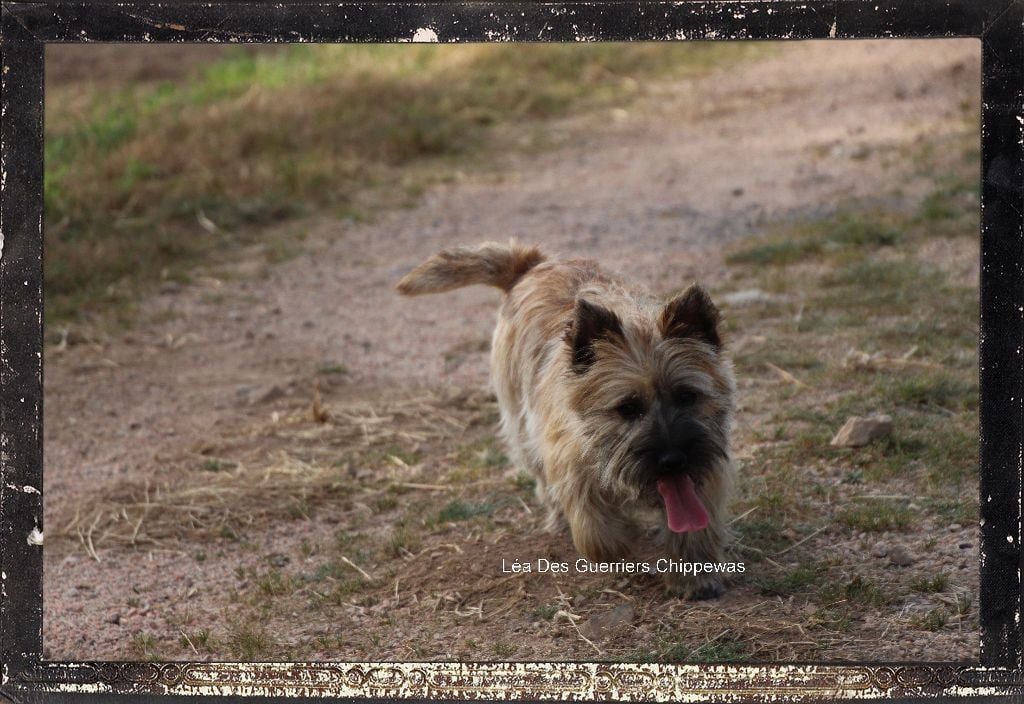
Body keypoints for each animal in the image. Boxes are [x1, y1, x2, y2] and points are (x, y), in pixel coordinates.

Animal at [393, 241, 737, 597]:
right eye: (628, 408)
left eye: (687, 396)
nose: (673, 460)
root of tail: (532, 265)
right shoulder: (568, 462)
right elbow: (595, 530)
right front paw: (620, 541)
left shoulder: (707, 466)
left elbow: (697, 523)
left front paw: (694, 576)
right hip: (522, 427)